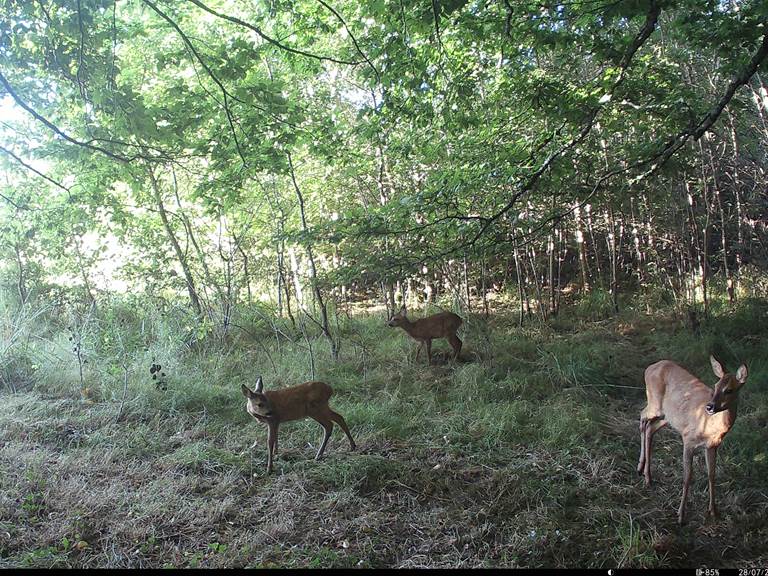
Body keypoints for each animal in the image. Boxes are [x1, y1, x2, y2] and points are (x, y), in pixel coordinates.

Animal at [636, 354, 752, 524]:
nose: (710, 407)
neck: (711, 427)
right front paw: (681, 515)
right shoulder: (688, 439)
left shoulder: (712, 446)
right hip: (655, 403)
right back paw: (642, 470)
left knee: (650, 427)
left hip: (668, 416)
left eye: (729, 390)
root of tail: (649, 368)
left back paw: (646, 474)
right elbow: (687, 477)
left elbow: (711, 475)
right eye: (715, 386)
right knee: (643, 417)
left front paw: (713, 511)